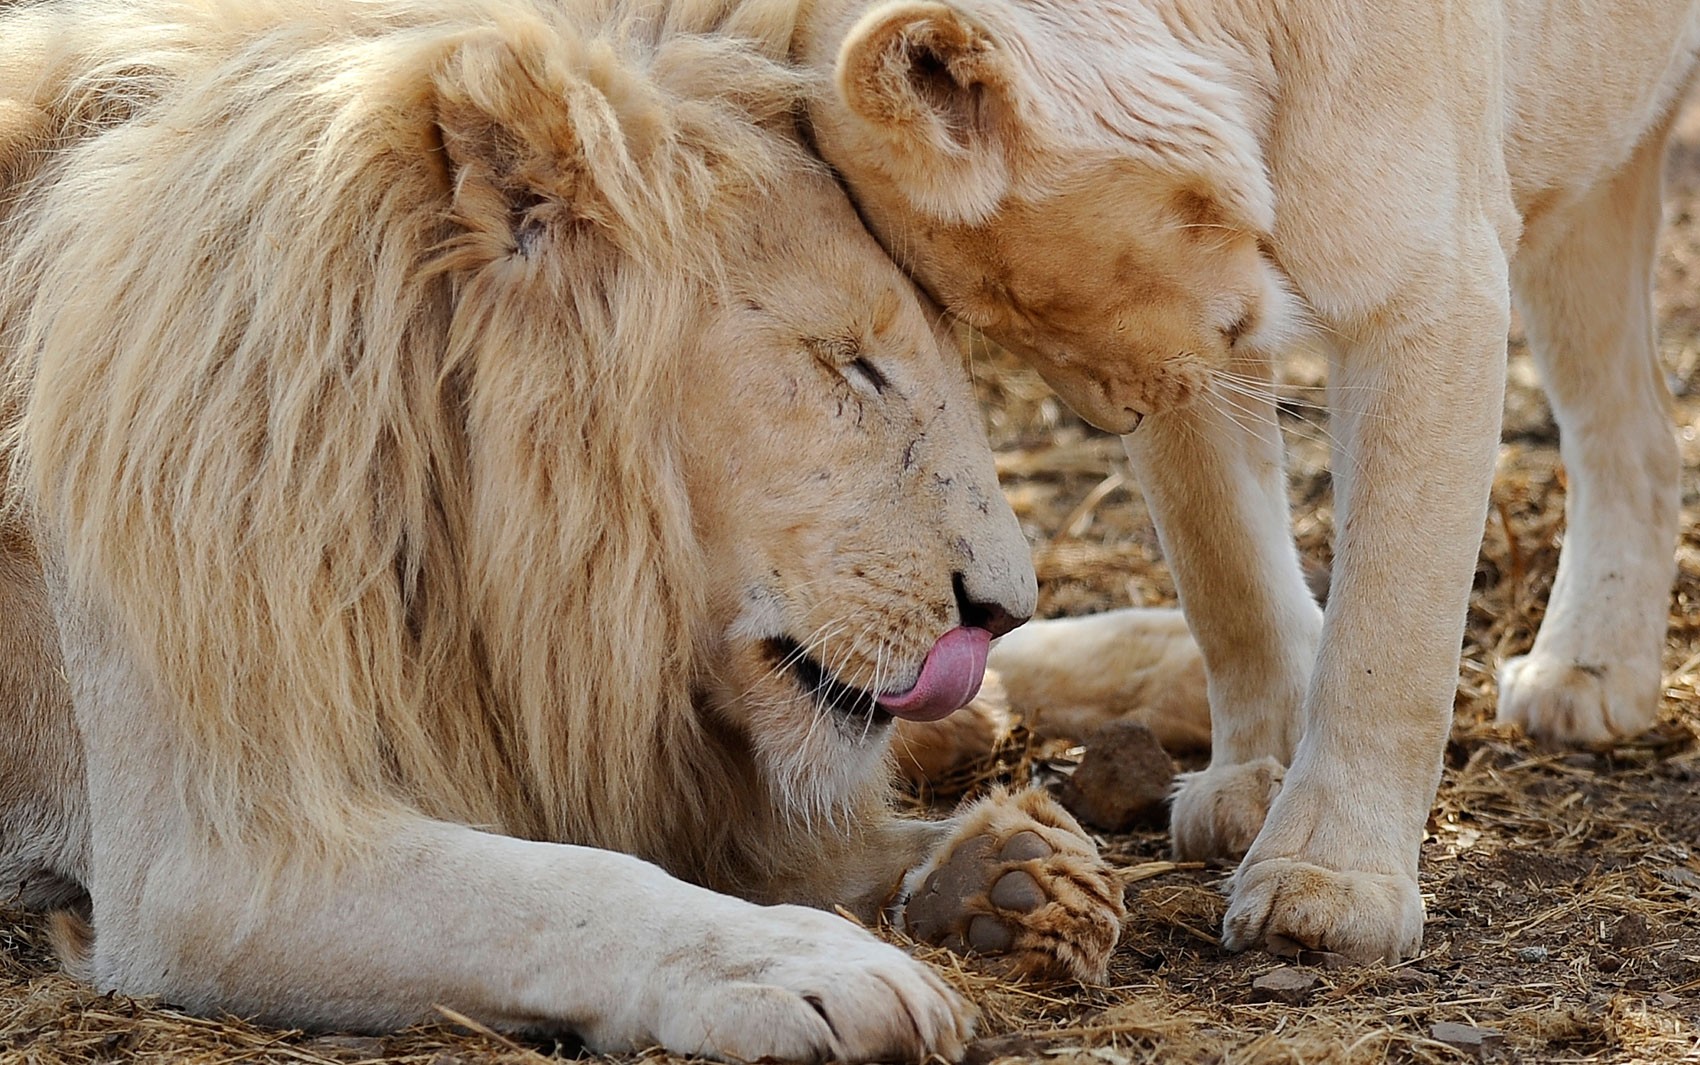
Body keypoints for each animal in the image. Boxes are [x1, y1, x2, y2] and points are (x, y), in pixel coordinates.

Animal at [0, 0, 1128, 1054]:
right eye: (848, 361)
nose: (1004, 609)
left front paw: (1002, 877)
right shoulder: (211, 861)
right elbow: (573, 887)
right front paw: (811, 967)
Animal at [761, 0, 1700, 959]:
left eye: (1014, 295)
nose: (1118, 416)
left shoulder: (1431, 288)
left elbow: (1387, 625)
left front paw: (1330, 880)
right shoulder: (1201, 345)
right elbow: (1227, 570)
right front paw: (1254, 778)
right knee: (1637, 434)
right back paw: (1590, 674)